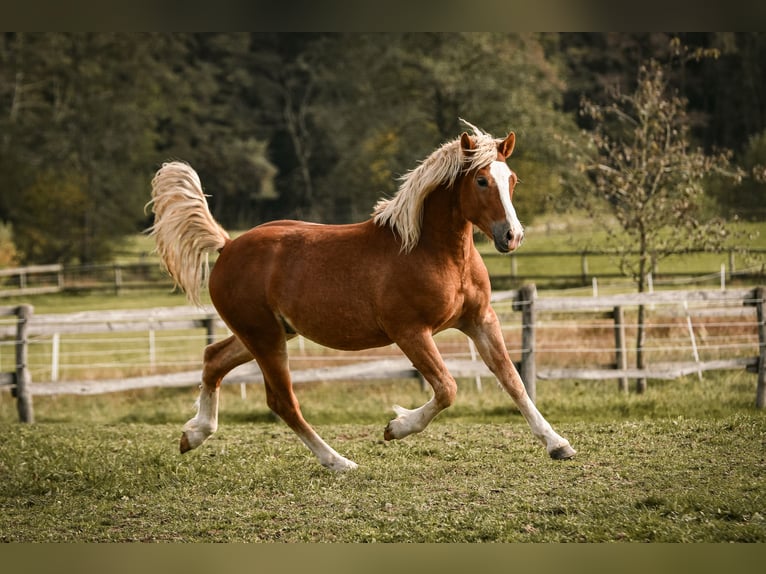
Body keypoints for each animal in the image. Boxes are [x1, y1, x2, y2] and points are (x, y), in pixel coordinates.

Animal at [147, 121, 575, 471]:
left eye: (512, 179)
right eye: (482, 182)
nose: (512, 236)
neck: (430, 251)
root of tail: (227, 246)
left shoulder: (480, 319)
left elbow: (512, 379)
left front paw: (558, 445)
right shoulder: (410, 332)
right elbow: (447, 389)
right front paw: (395, 427)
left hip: (267, 333)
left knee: (213, 359)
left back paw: (194, 434)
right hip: (265, 338)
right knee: (282, 402)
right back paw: (339, 462)